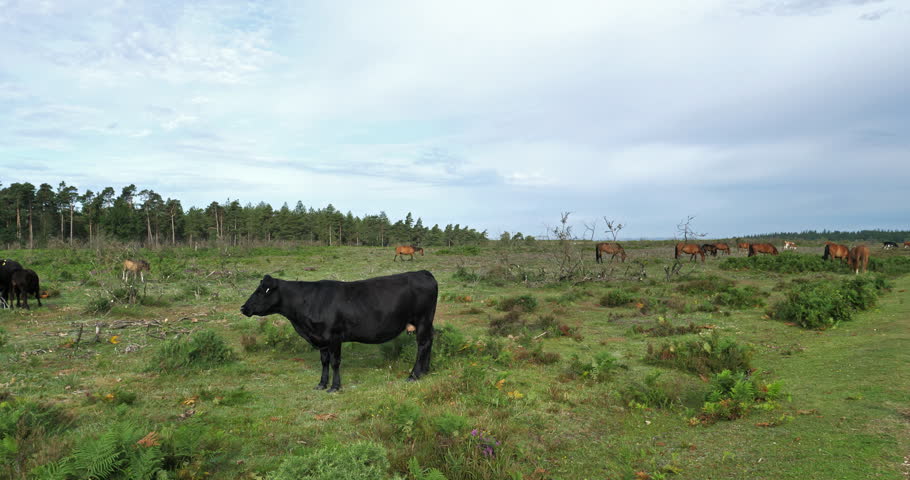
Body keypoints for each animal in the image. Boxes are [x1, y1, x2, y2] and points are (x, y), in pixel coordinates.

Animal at [240, 270, 438, 393]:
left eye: (261, 291)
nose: (243, 308)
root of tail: (423, 272)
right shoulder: (321, 339)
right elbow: (324, 361)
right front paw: (321, 384)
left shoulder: (334, 336)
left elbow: (335, 362)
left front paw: (335, 387)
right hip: (427, 323)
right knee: (429, 342)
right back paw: (425, 371)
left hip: (422, 320)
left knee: (422, 345)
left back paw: (414, 375)